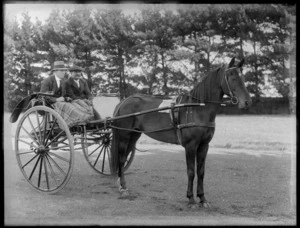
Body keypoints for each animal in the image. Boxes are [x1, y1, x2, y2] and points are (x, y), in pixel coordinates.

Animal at [109, 57, 251, 208]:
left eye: (243, 77)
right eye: (232, 77)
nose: (248, 102)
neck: (197, 108)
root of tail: (124, 101)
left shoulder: (203, 146)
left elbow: (201, 172)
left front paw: (202, 198)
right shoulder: (191, 146)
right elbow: (191, 172)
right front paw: (191, 199)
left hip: (133, 135)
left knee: (124, 158)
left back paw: (121, 184)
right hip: (124, 136)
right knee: (121, 159)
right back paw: (123, 187)